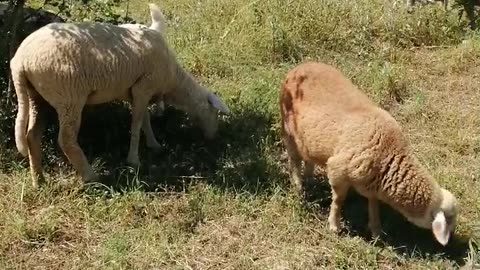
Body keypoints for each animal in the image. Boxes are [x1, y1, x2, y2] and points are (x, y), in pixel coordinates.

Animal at [10, 2, 230, 188]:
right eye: (214, 112)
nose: (214, 138)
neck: (173, 81)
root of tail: (20, 61)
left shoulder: (135, 91)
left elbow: (145, 120)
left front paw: (154, 145)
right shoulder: (144, 87)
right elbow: (136, 125)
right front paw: (134, 160)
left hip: (37, 95)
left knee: (32, 136)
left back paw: (38, 180)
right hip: (69, 96)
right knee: (66, 140)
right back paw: (92, 177)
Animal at [280, 62, 460, 246]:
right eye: (450, 219)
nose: (451, 242)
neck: (389, 154)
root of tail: (299, 67)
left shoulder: (372, 185)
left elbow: (374, 206)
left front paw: (376, 231)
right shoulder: (338, 170)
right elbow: (338, 200)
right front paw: (334, 225)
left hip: (308, 138)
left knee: (307, 158)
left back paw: (309, 180)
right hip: (288, 128)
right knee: (294, 159)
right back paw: (298, 187)